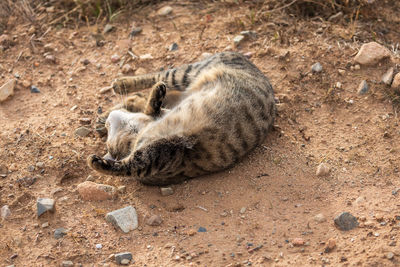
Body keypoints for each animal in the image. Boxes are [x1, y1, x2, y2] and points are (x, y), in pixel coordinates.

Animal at [87, 52, 276, 186]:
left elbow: (152, 108)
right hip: (185, 75)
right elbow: (127, 165)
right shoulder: (165, 153)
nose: (107, 123)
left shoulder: (166, 143)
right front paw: (97, 162)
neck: (138, 131)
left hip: (184, 74)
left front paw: (155, 95)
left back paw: (125, 84)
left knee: (158, 77)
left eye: (110, 130)